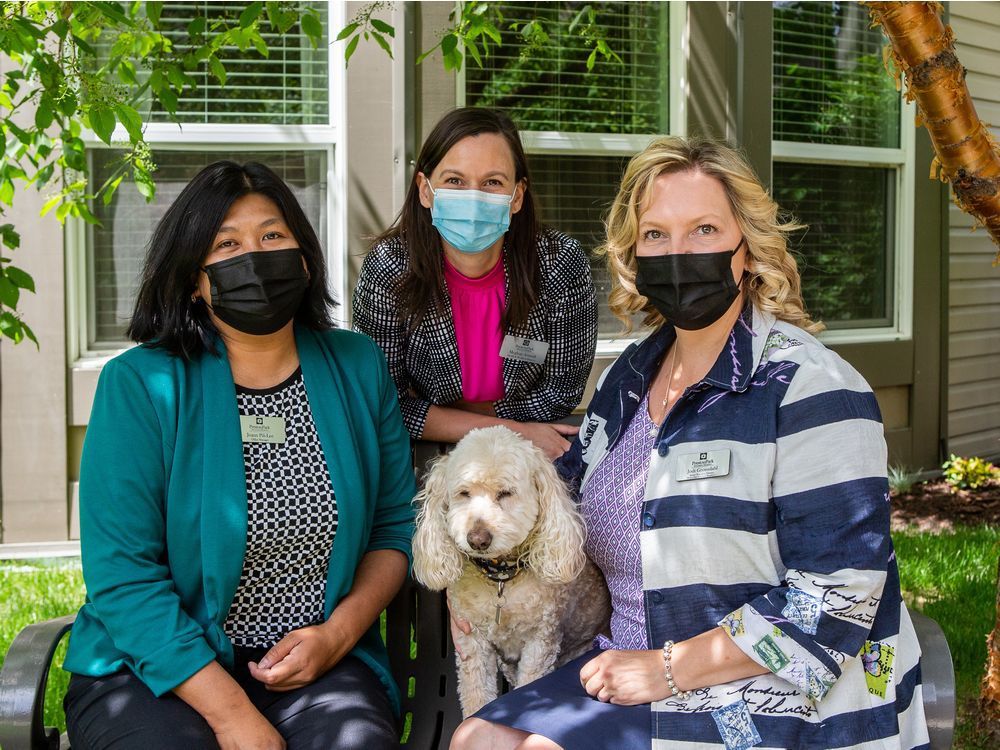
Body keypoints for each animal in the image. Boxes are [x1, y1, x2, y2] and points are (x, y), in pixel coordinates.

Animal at [408, 426, 608, 720]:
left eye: (505, 493)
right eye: (464, 493)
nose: (477, 539)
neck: (500, 578)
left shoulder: (540, 642)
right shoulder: (472, 644)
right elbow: (477, 698)